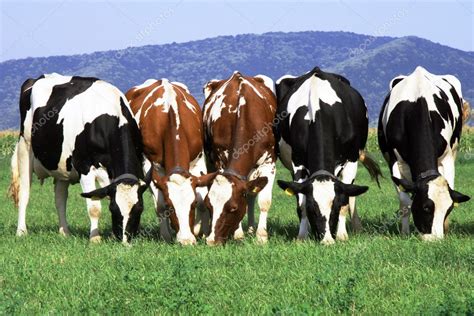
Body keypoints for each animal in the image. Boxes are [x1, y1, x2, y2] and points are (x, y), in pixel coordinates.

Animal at [9, 73, 150, 243]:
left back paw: (65, 232)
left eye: (140, 208)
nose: (124, 241)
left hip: (62, 165)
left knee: (60, 198)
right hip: (25, 147)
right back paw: (21, 231)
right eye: (113, 209)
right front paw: (95, 239)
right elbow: (94, 207)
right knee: (24, 192)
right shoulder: (85, 166)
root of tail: (37, 78)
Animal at [126, 78, 211, 244]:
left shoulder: (198, 159)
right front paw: (165, 235)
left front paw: (201, 231)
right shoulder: (151, 165)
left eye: (192, 204)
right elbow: (159, 204)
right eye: (170, 206)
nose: (186, 241)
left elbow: (202, 198)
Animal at [201, 71, 276, 244]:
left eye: (233, 208)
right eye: (209, 205)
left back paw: (251, 229)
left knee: (251, 196)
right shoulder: (220, 159)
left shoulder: (269, 162)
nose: (212, 241)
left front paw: (261, 236)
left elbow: (264, 201)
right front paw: (238, 234)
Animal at [274, 66, 382, 244]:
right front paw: (302, 236)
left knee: (352, 195)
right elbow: (300, 201)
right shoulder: (297, 163)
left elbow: (347, 198)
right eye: (312, 209)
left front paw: (342, 235)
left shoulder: (352, 160)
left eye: (335, 207)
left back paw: (356, 227)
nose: (327, 240)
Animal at [378, 66, 470, 239]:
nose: (436, 240)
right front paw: (405, 233)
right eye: (426, 207)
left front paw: (446, 229)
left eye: (448, 210)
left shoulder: (447, 157)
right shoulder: (395, 160)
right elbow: (405, 202)